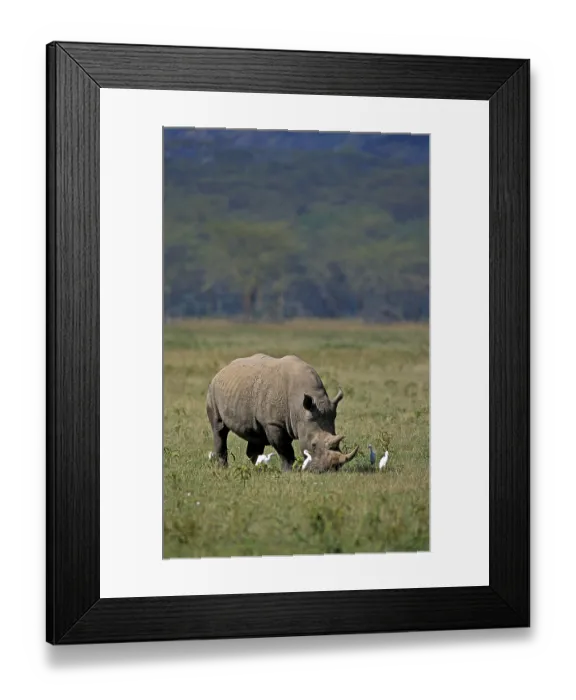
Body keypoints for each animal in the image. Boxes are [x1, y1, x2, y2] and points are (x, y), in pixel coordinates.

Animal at [206, 353, 359, 473]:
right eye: (314, 445)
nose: (330, 469)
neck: (301, 409)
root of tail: (223, 369)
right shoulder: (274, 423)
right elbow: (284, 449)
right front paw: (290, 471)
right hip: (213, 390)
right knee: (219, 429)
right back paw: (223, 468)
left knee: (255, 434)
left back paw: (259, 469)